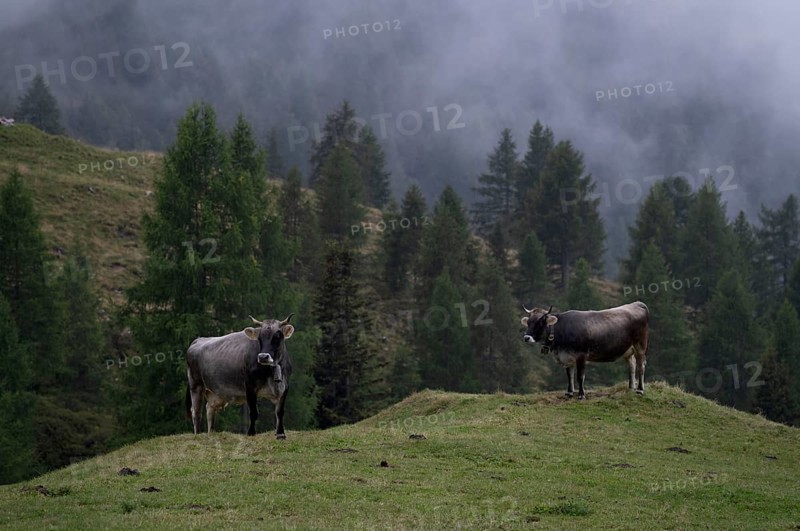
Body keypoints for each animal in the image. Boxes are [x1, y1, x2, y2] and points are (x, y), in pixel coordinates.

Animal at [521, 302, 649, 399]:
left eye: (540, 323)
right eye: (528, 322)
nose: (527, 337)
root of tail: (638, 303)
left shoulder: (581, 356)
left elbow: (580, 376)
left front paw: (581, 395)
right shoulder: (567, 356)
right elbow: (569, 375)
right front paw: (569, 392)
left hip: (640, 345)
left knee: (641, 365)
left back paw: (640, 390)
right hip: (628, 350)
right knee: (632, 364)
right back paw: (631, 388)